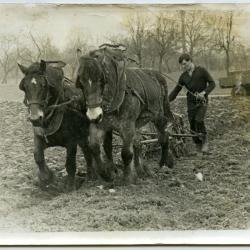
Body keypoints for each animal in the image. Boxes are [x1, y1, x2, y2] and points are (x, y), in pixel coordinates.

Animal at [17, 60, 97, 189]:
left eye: (44, 85)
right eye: (24, 87)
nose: (35, 118)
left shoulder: (71, 141)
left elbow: (70, 163)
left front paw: (69, 186)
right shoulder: (39, 136)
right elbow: (38, 156)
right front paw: (47, 177)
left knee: (88, 150)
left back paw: (93, 174)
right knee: (86, 150)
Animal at [76, 47, 174, 184]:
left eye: (102, 80)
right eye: (81, 83)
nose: (94, 116)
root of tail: (157, 74)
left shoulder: (127, 126)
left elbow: (126, 153)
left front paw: (127, 178)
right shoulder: (100, 125)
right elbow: (94, 147)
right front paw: (106, 174)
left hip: (158, 115)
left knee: (163, 136)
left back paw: (164, 162)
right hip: (137, 122)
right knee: (138, 143)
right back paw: (141, 170)